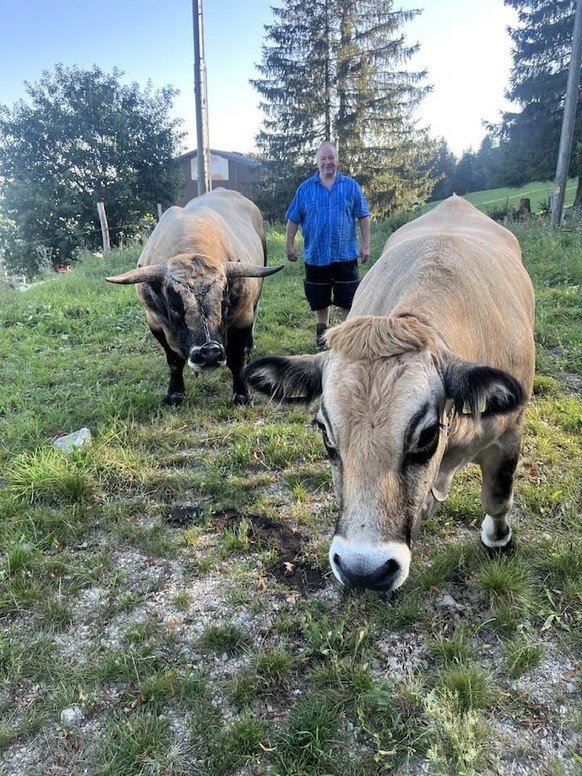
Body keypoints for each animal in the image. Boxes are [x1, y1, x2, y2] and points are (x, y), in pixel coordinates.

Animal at [109, 189, 286, 406]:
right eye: (174, 308)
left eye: (224, 304)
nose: (209, 353)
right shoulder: (155, 322)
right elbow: (174, 362)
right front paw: (175, 393)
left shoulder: (242, 318)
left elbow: (236, 361)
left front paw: (242, 394)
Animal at [244, 196, 536, 596]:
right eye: (324, 432)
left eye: (426, 435)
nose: (363, 570)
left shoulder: (509, 434)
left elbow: (497, 496)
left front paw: (498, 539)